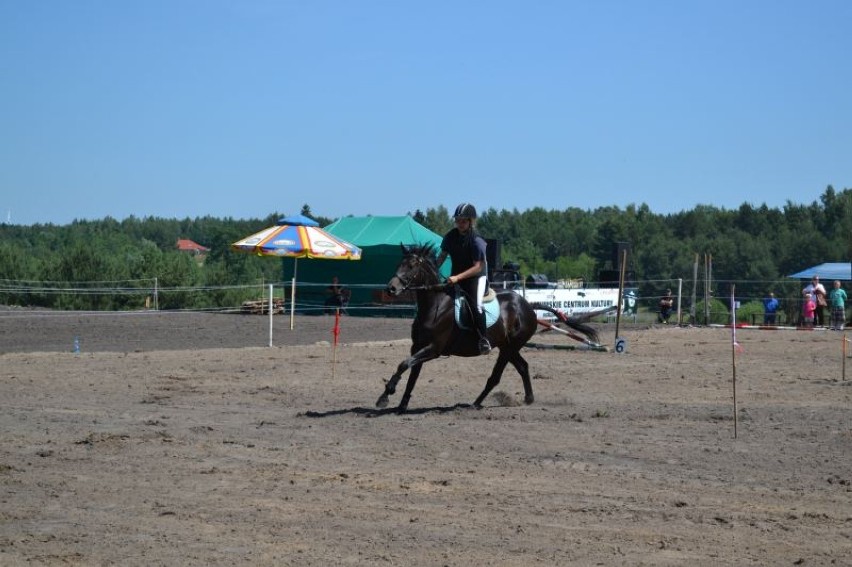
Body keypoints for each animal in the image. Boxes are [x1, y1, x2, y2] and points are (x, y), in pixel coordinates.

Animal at [372, 244, 600, 412]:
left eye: (411, 266)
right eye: (399, 263)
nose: (391, 288)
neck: (434, 305)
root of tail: (528, 305)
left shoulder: (433, 349)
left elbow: (404, 364)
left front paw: (386, 395)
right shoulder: (418, 347)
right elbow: (411, 372)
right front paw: (399, 404)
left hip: (508, 348)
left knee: (496, 377)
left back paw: (475, 403)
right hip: (507, 346)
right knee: (523, 367)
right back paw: (528, 398)